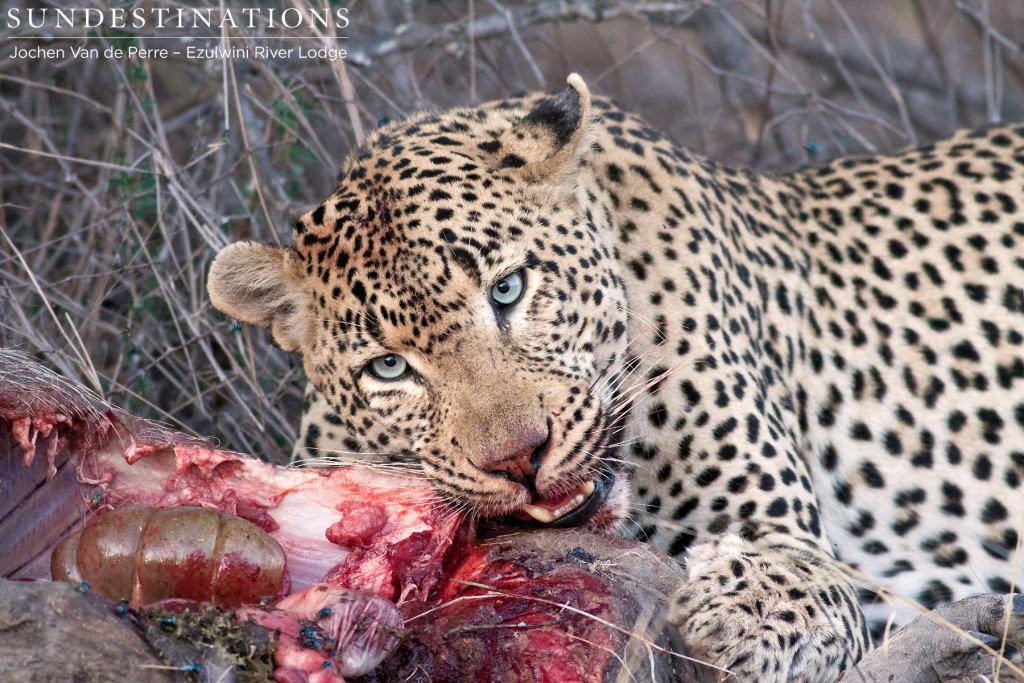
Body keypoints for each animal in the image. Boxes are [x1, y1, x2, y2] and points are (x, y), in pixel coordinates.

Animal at [203, 76, 1024, 683]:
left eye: (508, 289)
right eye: (390, 366)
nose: (520, 460)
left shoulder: (798, 548)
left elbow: (789, 587)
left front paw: (735, 617)